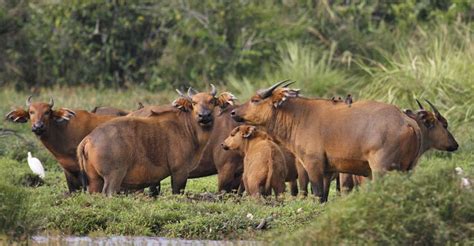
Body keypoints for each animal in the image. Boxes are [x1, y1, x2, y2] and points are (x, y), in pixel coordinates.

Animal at [78, 85, 231, 196]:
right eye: (194, 102)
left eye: (212, 101)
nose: (204, 116)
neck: (186, 128)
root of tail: (89, 138)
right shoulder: (180, 171)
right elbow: (177, 193)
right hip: (113, 176)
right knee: (108, 193)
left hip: (94, 180)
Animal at [231, 80, 458, 202]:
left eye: (255, 99)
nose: (234, 112)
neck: (300, 116)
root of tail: (407, 122)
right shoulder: (329, 170)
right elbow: (324, 197)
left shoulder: (313, 166)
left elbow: (317, 194)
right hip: (408, 170)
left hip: (382, 170)